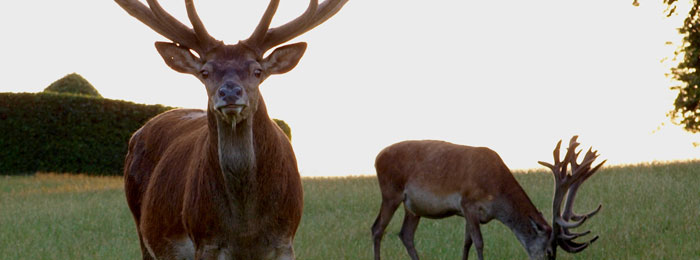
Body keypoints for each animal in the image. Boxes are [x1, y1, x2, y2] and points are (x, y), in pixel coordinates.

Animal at [116, 1, 348, 258]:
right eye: (205, 72)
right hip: (142, 229)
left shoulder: (285, 239)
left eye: (257, 71)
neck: (245, 228)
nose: (229, 92)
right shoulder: (205, 240)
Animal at [372, 136, 608, 260]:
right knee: (377, 229)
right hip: (390, 192)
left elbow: (466, 242)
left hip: (413, 207)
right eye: (549, 252)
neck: (496, 196)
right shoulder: (468, 203)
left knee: (405, 234)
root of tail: (377, 157)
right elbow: (478, 242)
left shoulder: (467, 212)